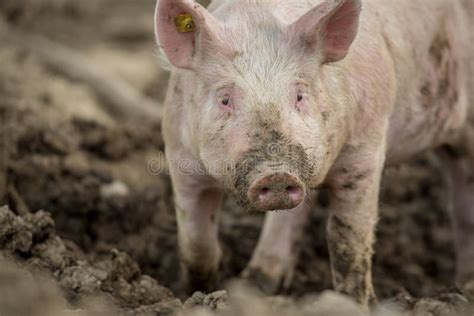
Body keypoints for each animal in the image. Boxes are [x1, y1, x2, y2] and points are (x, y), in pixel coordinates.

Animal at [154, 0, 472, 308]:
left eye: (300, 95)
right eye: (225, 99)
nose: (277, 174)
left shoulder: (365, 152)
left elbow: (347, 238)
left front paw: (356, 304)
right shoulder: (180, 157)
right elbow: (196, 242)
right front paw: (199, 296)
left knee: (461, 207)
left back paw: (464, 287)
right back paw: (257, 282)